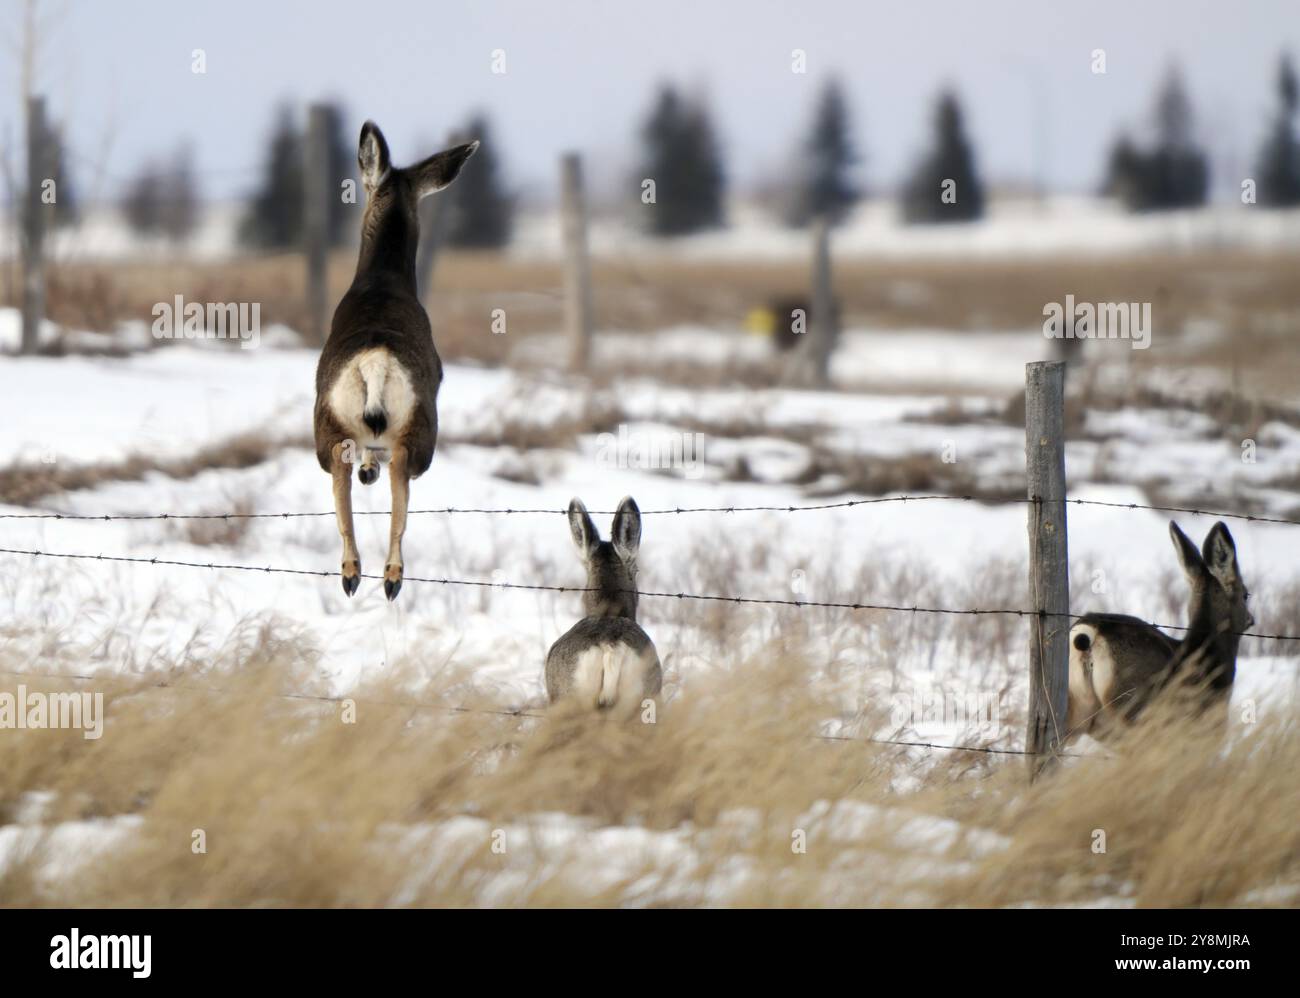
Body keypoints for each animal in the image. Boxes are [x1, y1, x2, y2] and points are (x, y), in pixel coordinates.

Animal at [313, 120, 478, 597]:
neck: (383, 282)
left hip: (334, 424)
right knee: (395, 479)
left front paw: (367, 469)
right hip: (413, 430)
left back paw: (363, 572)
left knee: (355, 483)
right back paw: (379, 576)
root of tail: (375, 362)